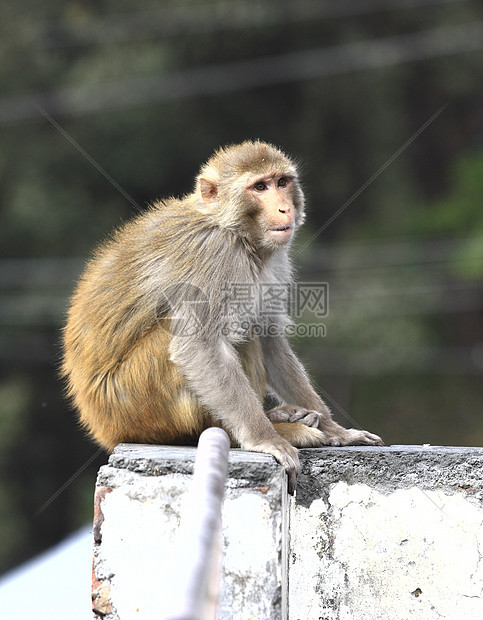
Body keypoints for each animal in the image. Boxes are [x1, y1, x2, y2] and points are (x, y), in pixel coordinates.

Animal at [62, 142, 384, 494]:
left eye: (281, 182)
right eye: (260, 187)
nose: (285, 209)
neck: (235, 232)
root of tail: (101, 425)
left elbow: (269, 336)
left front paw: (337, 430)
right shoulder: (213, 256)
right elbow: (199, 346)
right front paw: (264, 439)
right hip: (133, 400)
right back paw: (268, 430)